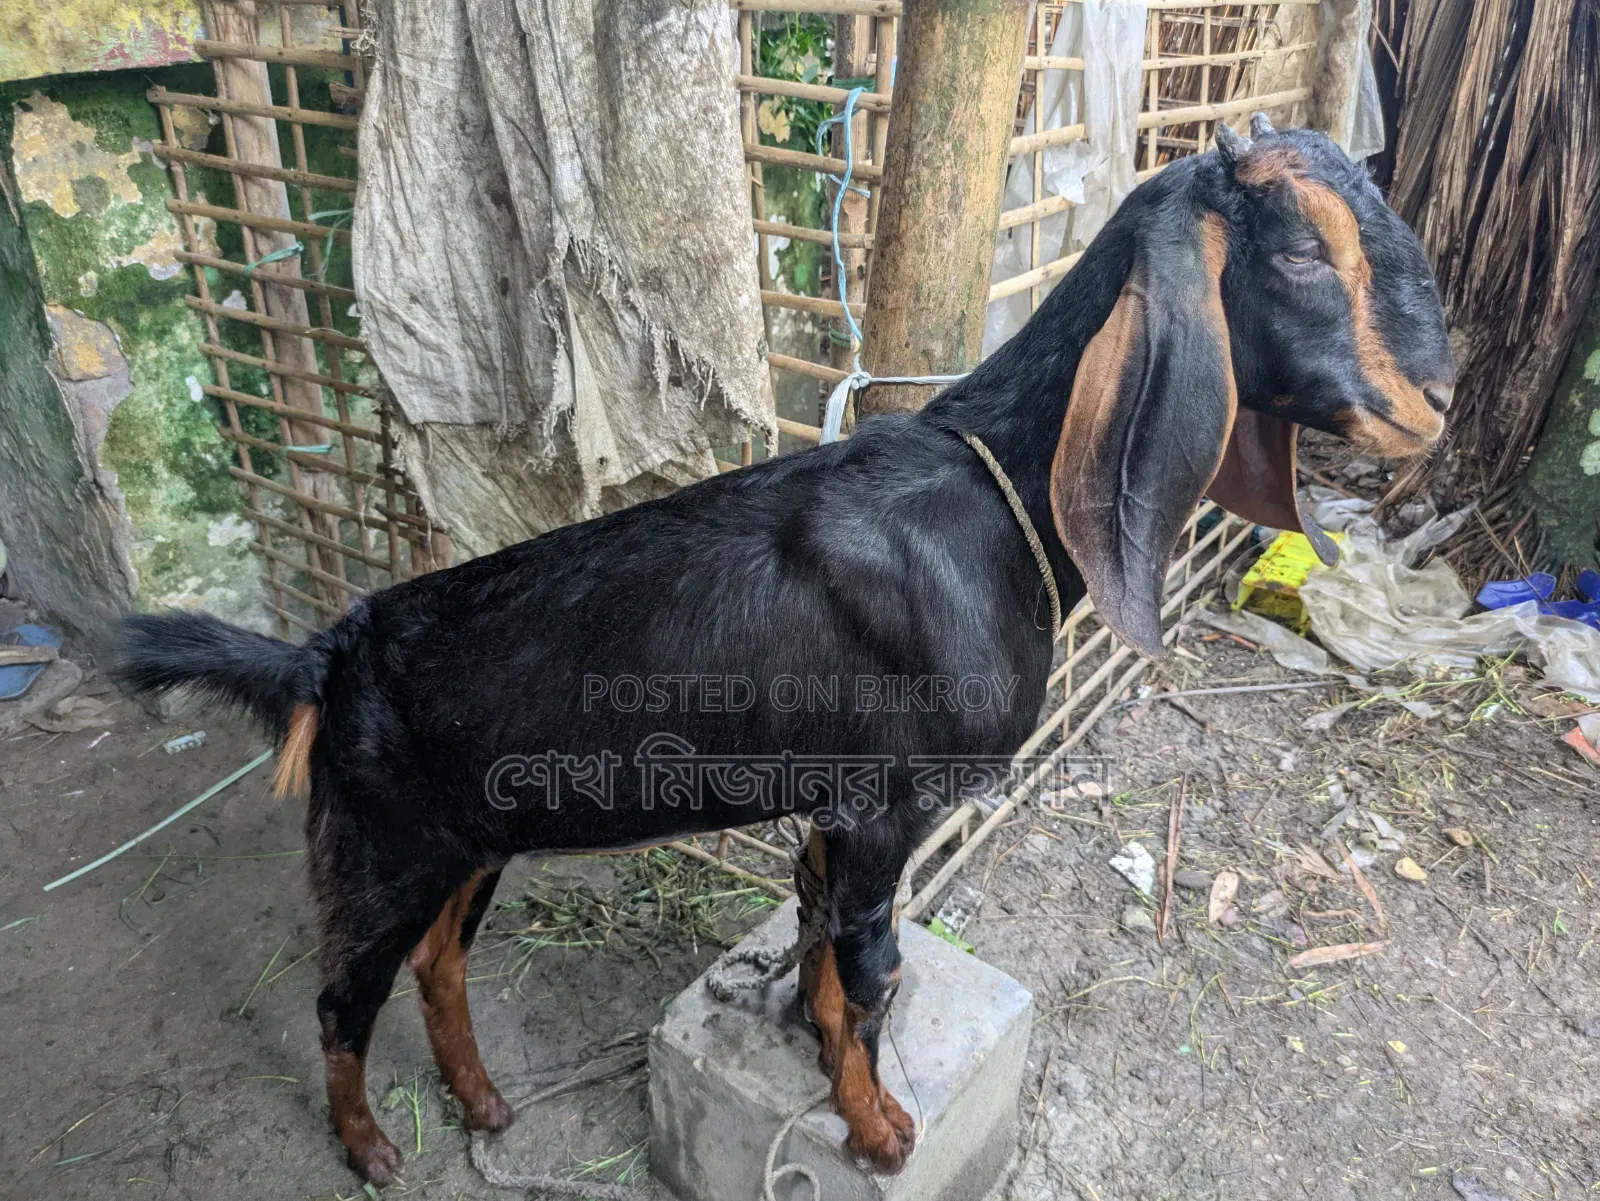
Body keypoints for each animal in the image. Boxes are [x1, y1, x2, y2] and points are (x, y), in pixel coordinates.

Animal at [111, 120, 1453, 1187]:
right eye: (1299, 251)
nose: (1433, 405)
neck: (994, 499)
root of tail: (326, 656)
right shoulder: (886, 803)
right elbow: (868, 973)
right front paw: (879, 1129)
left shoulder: (831, 805)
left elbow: (823, 950)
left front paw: (818, 1059)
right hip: (377, 846)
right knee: (342, 996)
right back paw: (370, 1146)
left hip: (470, 838)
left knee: (440, 964)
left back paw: (483, 1103)